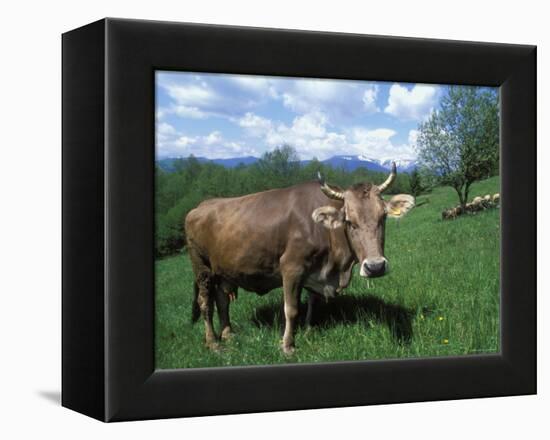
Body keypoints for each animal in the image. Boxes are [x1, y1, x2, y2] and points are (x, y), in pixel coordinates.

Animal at [185, 163, 414, 352]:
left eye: (383, 217)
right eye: (350, 222)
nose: (375, 267)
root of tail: (200, 206)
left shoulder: (316, 271)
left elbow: (313, 301)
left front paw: (309, 329)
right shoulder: (291, 267)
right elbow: (291, 308)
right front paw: (288, 345)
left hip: (223, 270)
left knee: (222, 300)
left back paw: (228, 334)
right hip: (202, 268)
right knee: (206, 302)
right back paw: (213, 342)